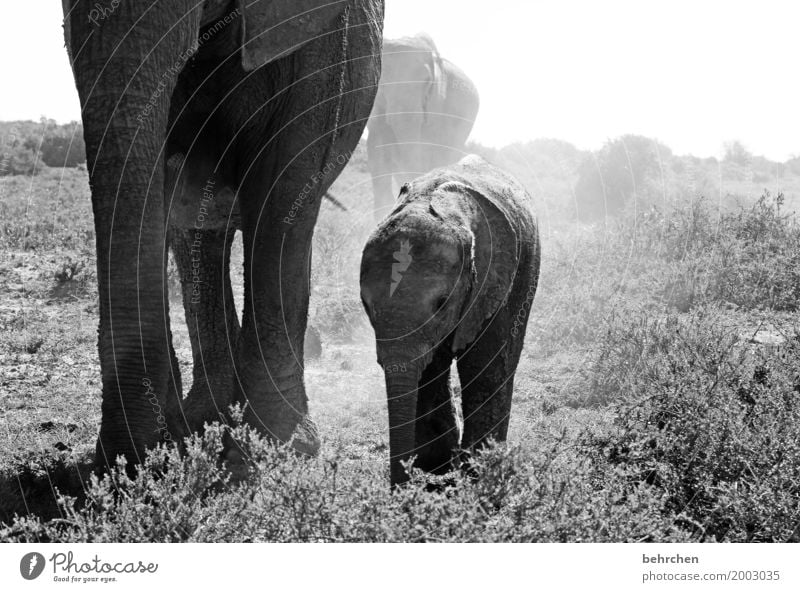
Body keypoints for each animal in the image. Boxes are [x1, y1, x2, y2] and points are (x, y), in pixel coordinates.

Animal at [360, 155, 540, 484]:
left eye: (441, 303)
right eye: (367, 306)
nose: (400, 487)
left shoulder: (493, 278)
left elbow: (482, 364)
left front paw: (477, 472)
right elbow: (429, 367)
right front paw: (436, 465)